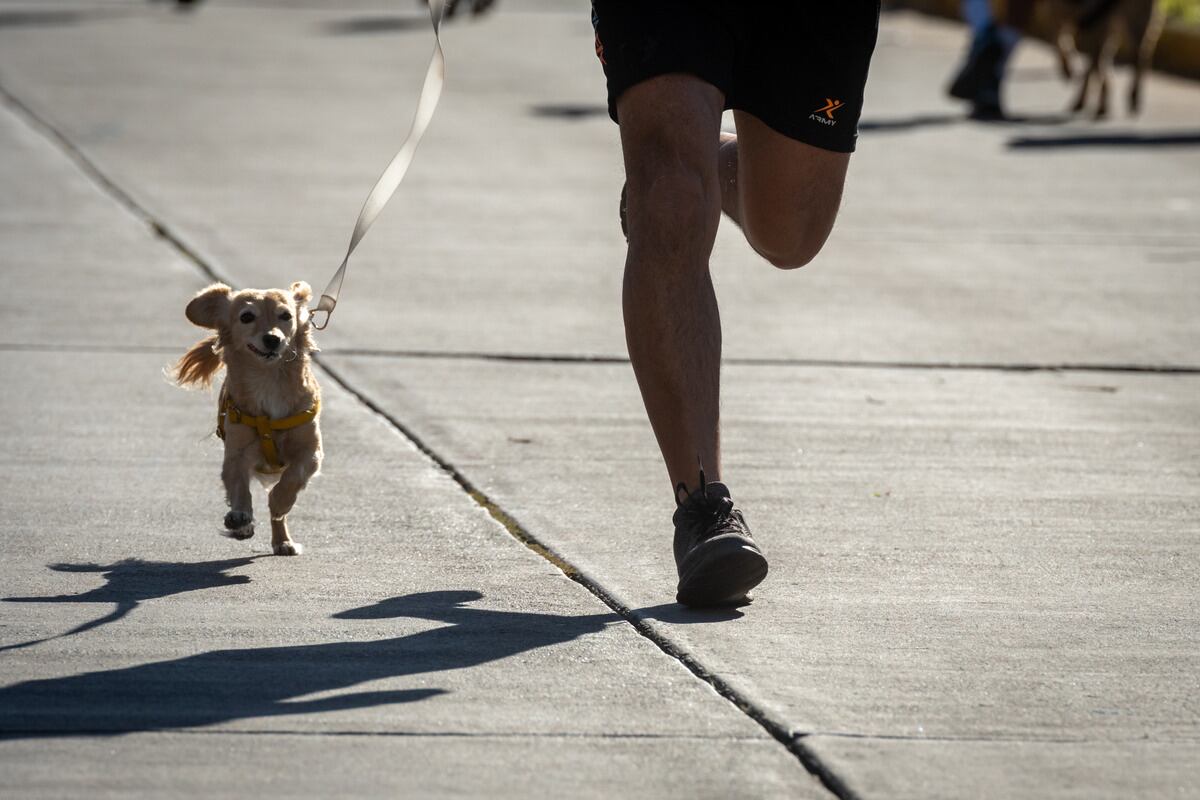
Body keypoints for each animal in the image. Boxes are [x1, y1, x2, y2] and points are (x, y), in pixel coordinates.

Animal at [174, 281, 321, 556]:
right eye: (246, 317)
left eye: (286, 316)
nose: (272, 338)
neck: (268, 381)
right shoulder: (236, 453)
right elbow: (239, 486)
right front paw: (241, 518)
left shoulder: (311, 452)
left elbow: (291, 481)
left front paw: (280, 502)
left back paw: (283, 541)